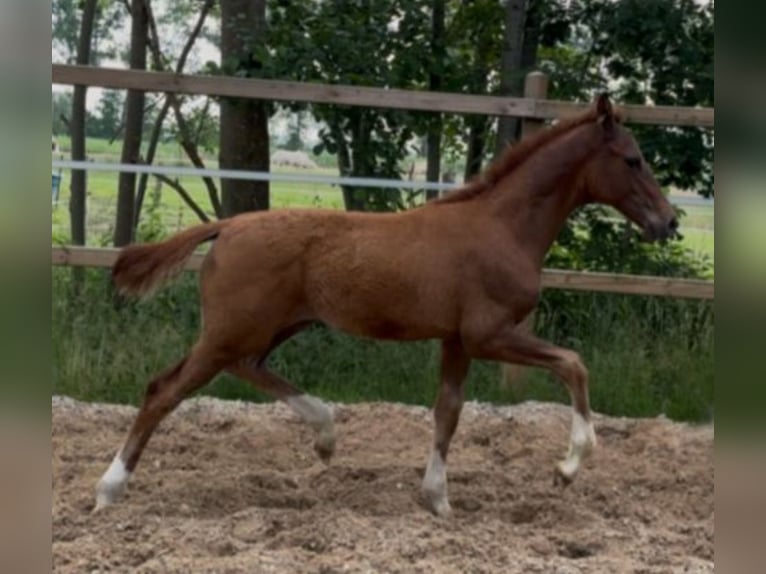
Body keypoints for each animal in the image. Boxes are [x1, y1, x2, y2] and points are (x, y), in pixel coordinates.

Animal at [94, 94, 678, 517]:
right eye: (633, 160)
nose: (668, 222)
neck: (502, 227)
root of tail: (229, 224)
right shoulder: (489, 333)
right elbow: (574, 365)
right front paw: (567, 468)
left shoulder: (457, 340)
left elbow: (448, 412)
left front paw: (438, 500)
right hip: (232, 331)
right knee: (165, 391)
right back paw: (108, 489)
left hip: (267, 328)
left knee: (240, 369)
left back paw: (326, 436)